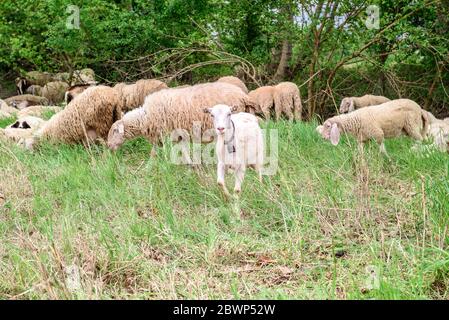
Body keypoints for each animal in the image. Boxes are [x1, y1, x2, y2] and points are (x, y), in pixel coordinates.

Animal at [105, 82, 252, 152]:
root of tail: (242, 95)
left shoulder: (164, 134)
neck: (145, 118)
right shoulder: (176, 137)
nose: (108, 146)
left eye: (114, 131)